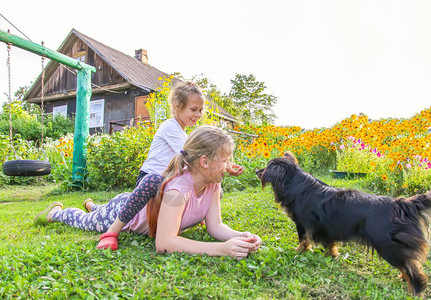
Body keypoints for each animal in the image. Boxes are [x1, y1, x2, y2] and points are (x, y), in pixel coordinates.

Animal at [256, 152, 431, 296]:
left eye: (267, 166)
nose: (257, 171)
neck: (295, 183)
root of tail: (401, 204)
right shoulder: (327, 229)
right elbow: (330, 244)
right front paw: (332, 255)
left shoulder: (302, 224)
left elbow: (303, 240)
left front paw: (298, 251)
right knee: (409, 264)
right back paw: (403, 278)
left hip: (388, 246)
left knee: (412, 269)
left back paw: (415, 290)